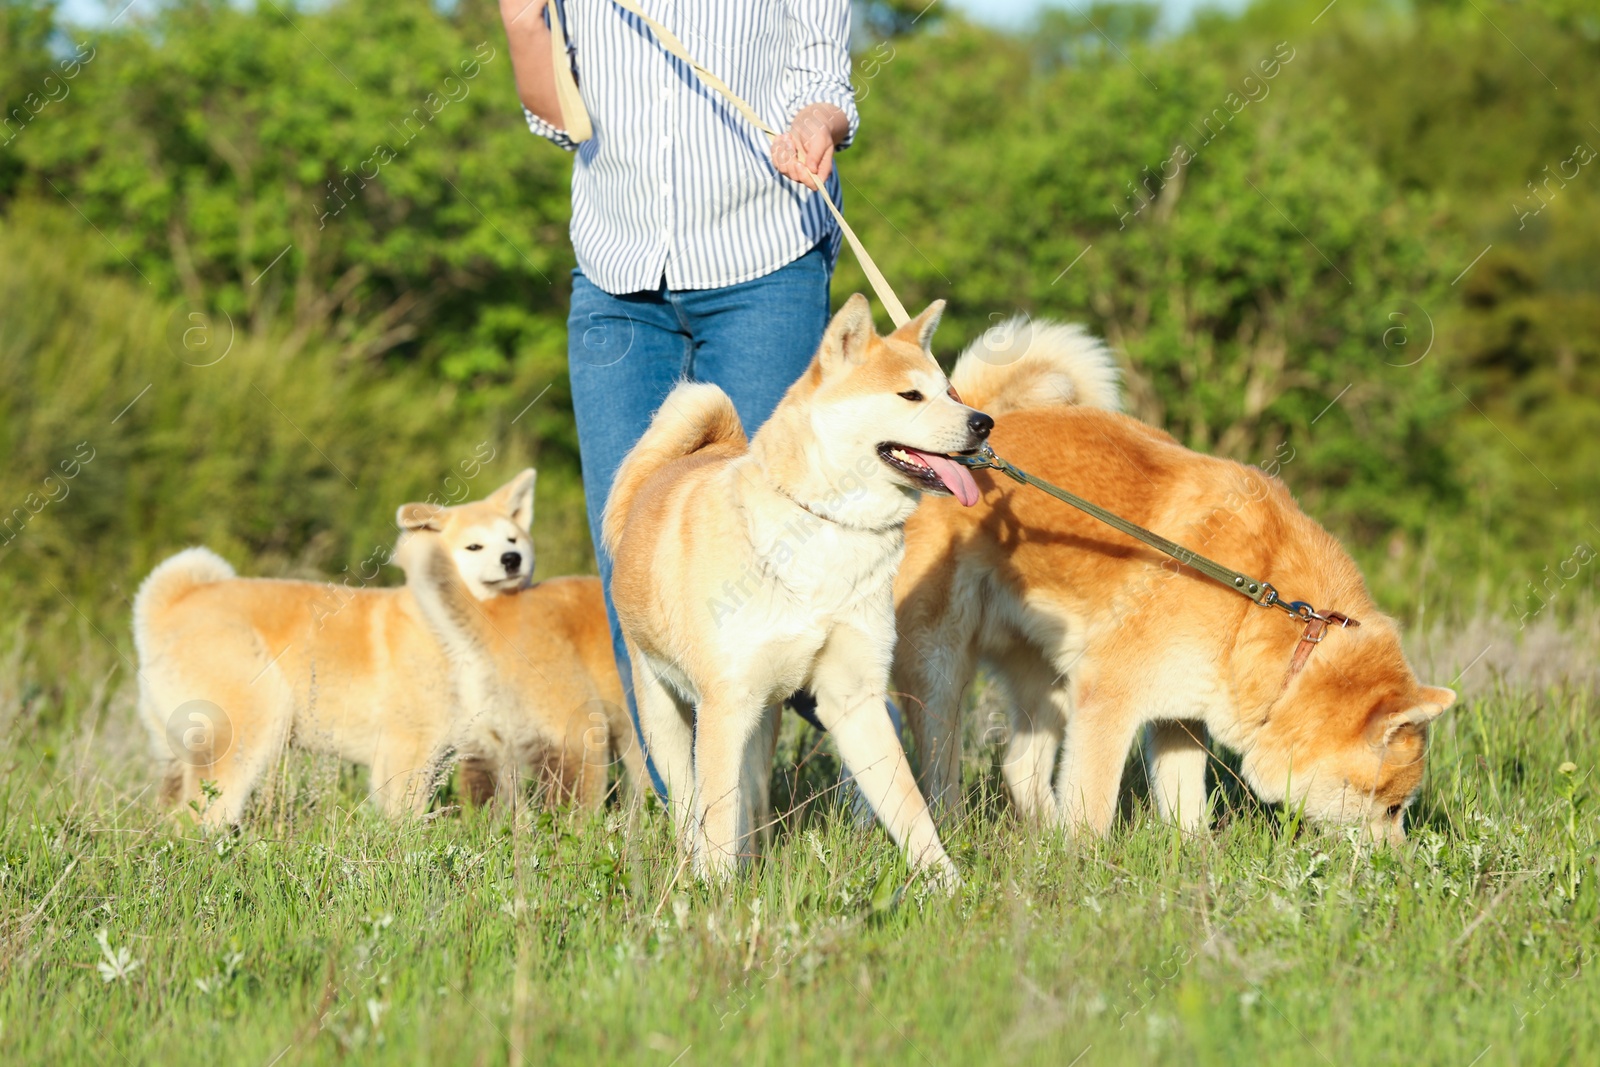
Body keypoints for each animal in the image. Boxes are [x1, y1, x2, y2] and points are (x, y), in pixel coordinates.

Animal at [132, 470, 630, 825]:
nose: (513, 559)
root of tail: (174, 604)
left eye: (513, 539)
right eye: (474, 546)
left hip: (179, 746)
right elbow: (404, 817)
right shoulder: (408, 748)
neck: (442, 626)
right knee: (203, 814)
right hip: (251, 725)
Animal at [604, 294, 992, 883]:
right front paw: (715, 897)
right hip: (667, 715)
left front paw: (947, 885)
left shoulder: (854, 700)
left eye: (950, 392)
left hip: (761, 720)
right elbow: (715, 820)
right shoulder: (724, 704)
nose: (984, 423)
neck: (827, 528)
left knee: (748, 802)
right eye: (910, 395)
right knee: (692, 809)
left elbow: (909, 808)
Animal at [896, 321, 1459, 844]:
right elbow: (1093, 811)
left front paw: (1195, 863)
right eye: (1391, 808)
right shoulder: (1108, 697)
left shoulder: (1180, 718)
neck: (1272, 618)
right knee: (939, 770)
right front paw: (1081, 867)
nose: (1397, 861)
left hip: (1046, 677)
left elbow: (1187, 810)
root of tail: (976, 441)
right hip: (941, 667)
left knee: (1019, 764)